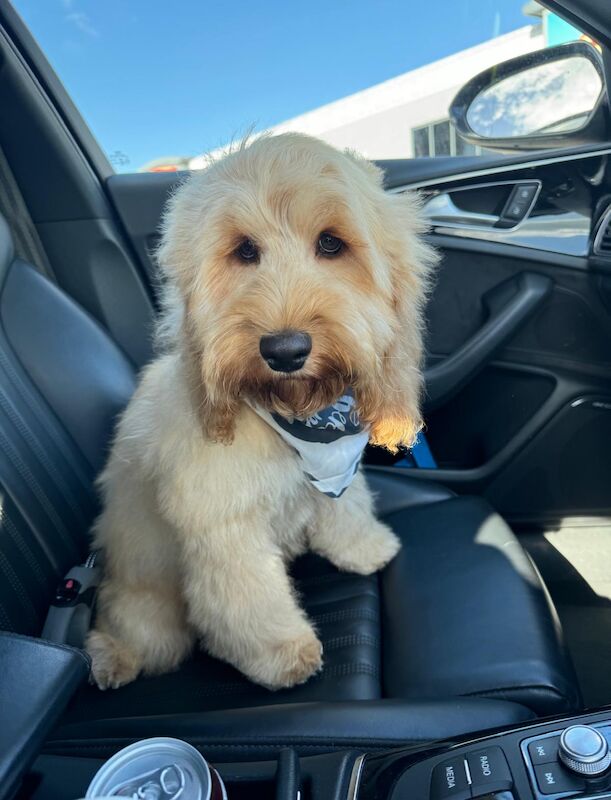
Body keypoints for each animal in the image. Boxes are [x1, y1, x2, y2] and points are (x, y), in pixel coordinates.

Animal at [88, 131, 438, 688]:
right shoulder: (221, 521)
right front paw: (281, 652)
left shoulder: (333, 476)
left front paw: (365, 547)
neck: (293, 418)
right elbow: (246, 596)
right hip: (145, 607)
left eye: (331, 243)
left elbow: (346, 508)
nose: (285, 351)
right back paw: (113, 658)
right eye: (244, 250)